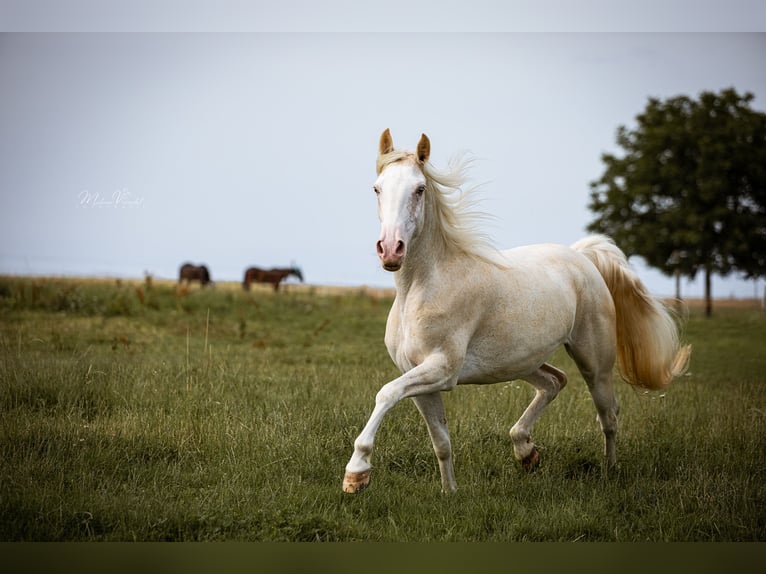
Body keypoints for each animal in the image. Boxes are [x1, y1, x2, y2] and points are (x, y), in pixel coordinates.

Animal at [342, 129, 691, 494]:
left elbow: (386, 393)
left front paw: (356, 473)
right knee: (555, 381)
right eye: (377, 188)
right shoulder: (419, 378)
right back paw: (526, 453)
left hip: (594, 363)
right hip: (521, 361)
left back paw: (608, 474)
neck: (420, 290)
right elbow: (441, 441)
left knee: (608, 415)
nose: (390, 249)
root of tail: (581, 257)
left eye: (419, 189)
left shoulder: (442, 369)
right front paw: (450, 493)